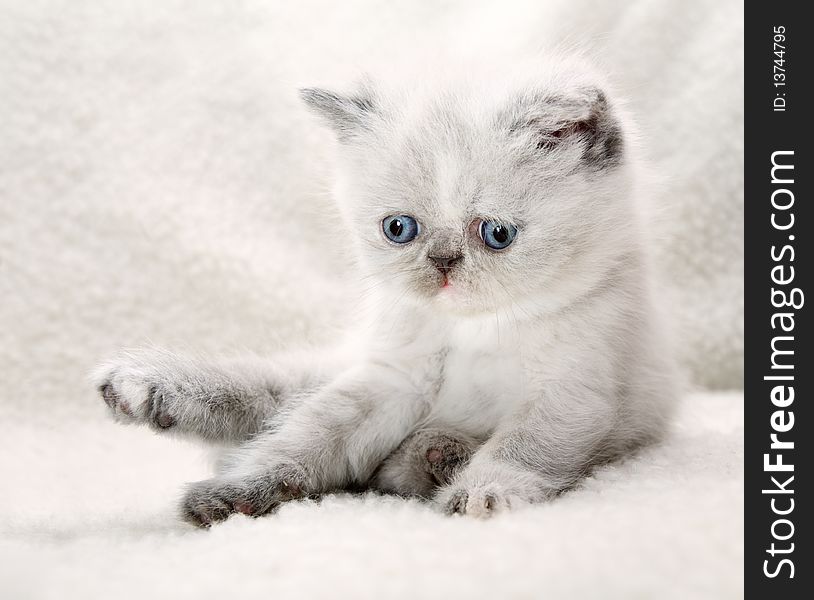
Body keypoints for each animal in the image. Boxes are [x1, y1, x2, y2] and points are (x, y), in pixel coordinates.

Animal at [95, 57, 680, 524]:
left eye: (497, 234)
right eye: (400, 229)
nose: (442, 263)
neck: (476, 331)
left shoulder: (570, 392)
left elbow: (522, 448)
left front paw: (482, 493)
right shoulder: (392, 380)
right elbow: (309, 437)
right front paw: (243, 489)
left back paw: (436, 456)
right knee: (272, 399)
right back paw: (144, 389)